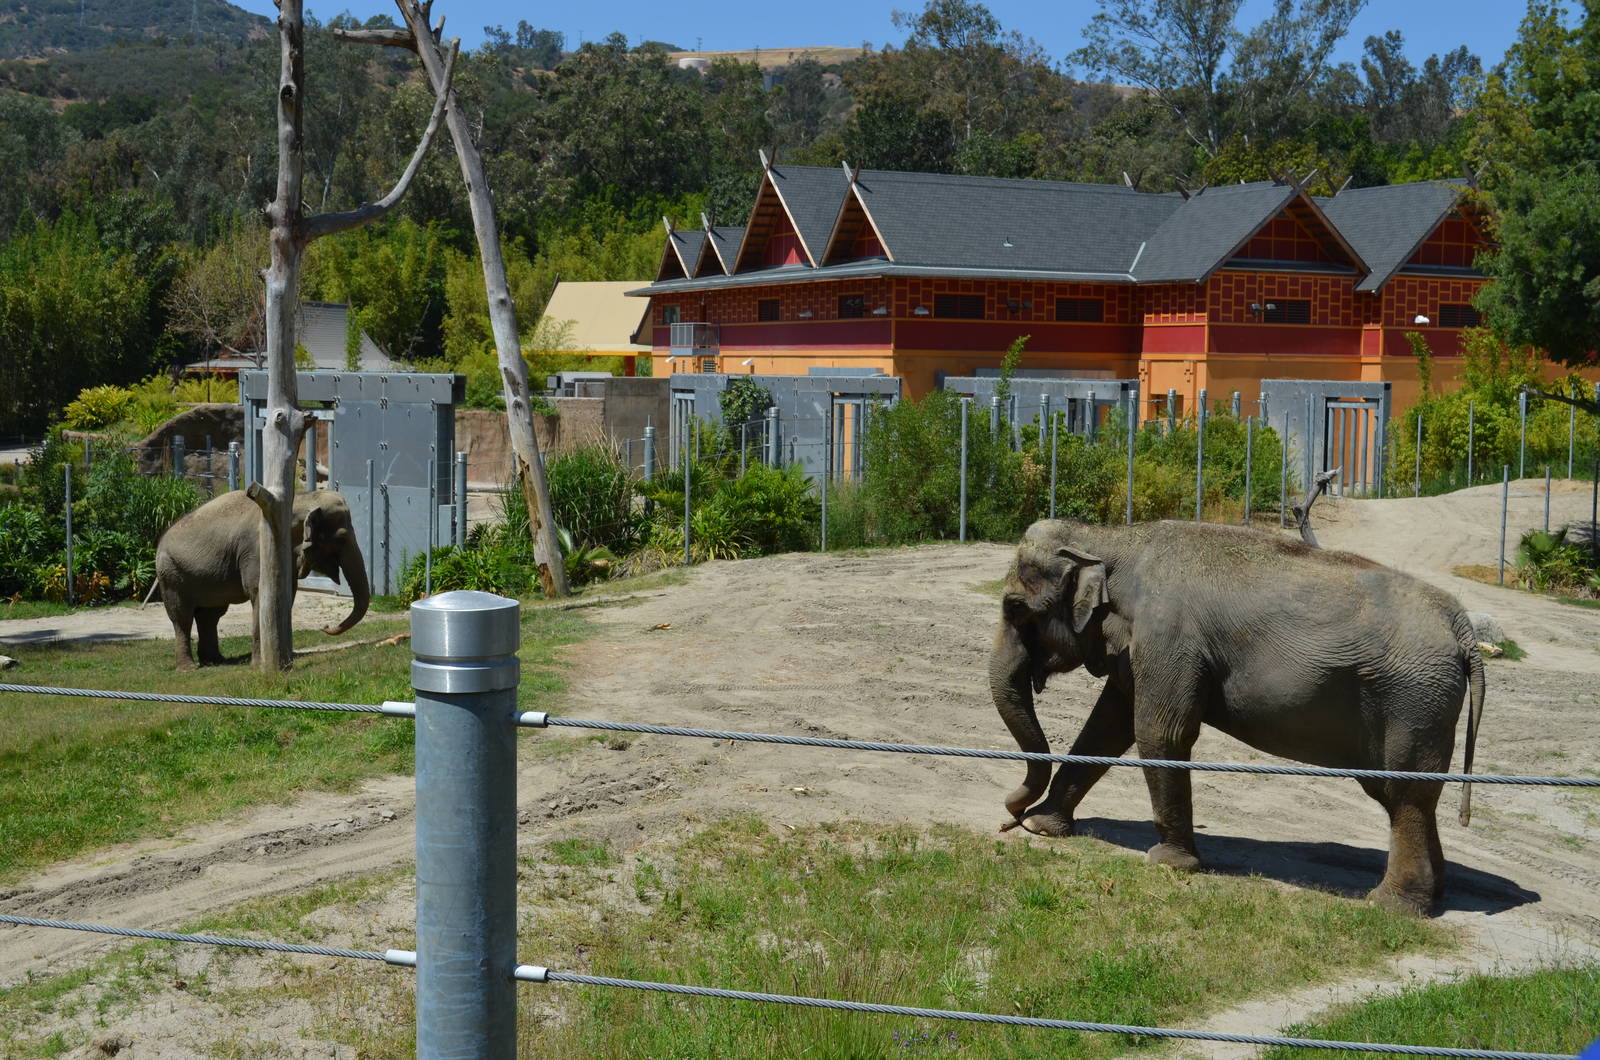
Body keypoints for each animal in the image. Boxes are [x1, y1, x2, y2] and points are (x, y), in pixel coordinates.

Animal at [155, 490, 370, 669]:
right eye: (341, 538)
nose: (324, 626)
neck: (301, 498)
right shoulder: (257, 550)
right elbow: (260, 593)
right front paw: (261, 665)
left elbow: (288, 594)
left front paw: (286, 659)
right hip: (171, 574)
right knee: (182, 617)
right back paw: (189, 668)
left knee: (210, 615)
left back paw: (215, 661)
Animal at [990, 518, 1485, 915]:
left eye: (1014, 607)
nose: (1008, 815)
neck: (1112, 538)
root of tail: (1462, 626)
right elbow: (1108, 726)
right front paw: (1043, 826)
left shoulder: (1169, 637)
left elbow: (1158, 732)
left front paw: (1170, 864)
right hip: (1420, 702)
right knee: (1408, 794)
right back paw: (1434, 895)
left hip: (1413, 699)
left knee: (1404, 793)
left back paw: (1391, 906)